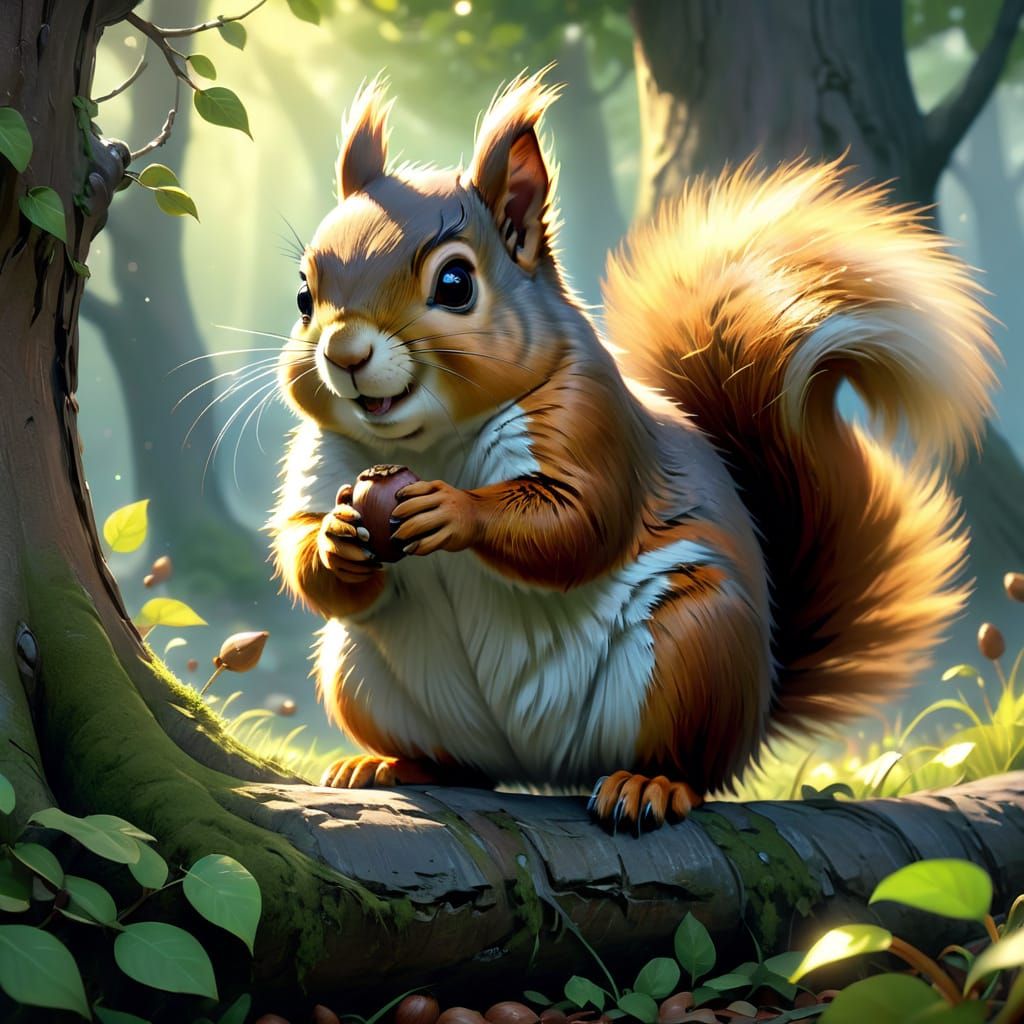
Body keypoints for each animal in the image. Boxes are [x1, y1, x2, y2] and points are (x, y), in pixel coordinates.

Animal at [268, 70, 996, 833]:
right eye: (304, 295)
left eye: (455, 285)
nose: (344, 354)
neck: (433, 441)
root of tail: (538, 768)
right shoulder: (320, 456)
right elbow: (300, 548)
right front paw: (336, 538)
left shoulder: (590, 421)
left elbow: (576, 524)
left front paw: (452, 510)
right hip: (358, 674)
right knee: (462, 765)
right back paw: (389, 764)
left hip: (694, 646)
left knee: (694, 764)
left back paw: (649, 784)